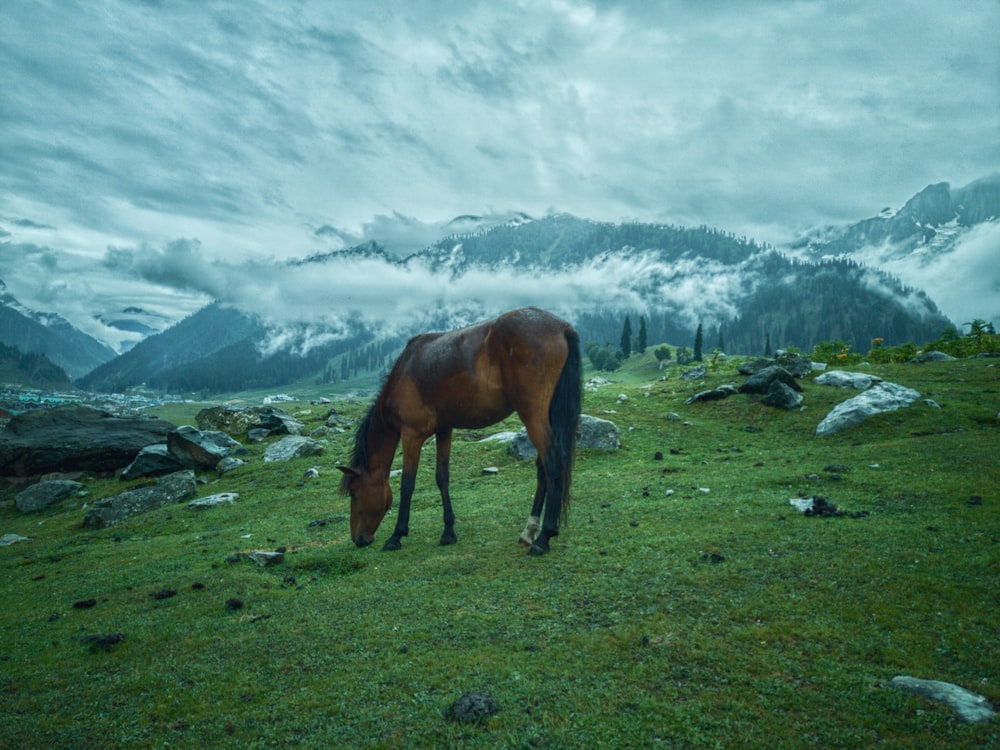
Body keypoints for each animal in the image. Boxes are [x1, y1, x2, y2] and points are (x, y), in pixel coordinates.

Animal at [338, 306, 584, 560]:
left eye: (353, 493)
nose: (359, 539)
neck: (404, 372)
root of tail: (561, 326)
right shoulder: (444, 430)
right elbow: (442, 477)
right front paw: (448, 532)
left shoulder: (411, 435)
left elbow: (407, 485)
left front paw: (397, 535)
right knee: (543, 468)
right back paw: (529, 531)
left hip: (532, 414)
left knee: (552, 463)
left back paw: (544, 537)